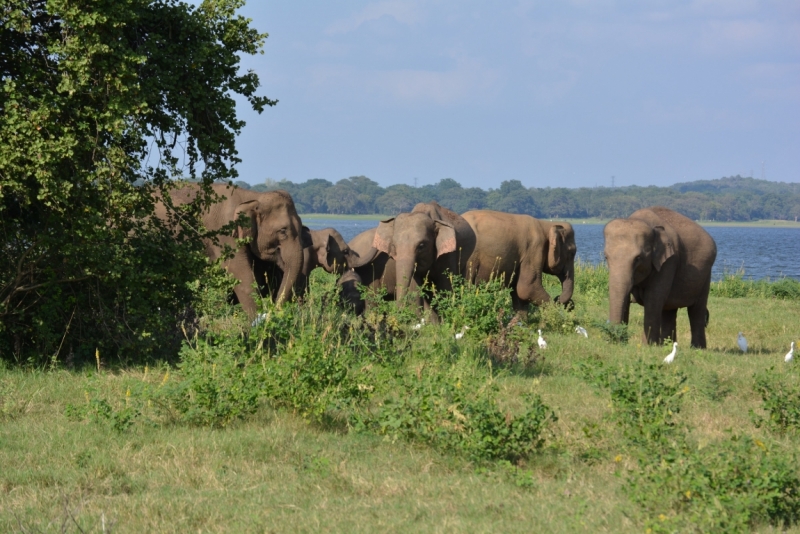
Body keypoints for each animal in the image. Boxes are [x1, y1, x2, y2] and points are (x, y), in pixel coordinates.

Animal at [155, 184, 304, 318]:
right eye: (283, 230)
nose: (275, 310)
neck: (252, 197)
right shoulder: (224, 234)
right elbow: (241, 276)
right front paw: (256, 322)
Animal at [608, 207, 720, 350]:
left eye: (638, 258)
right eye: (606, 257)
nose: (615, 340)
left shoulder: (669, 261)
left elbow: (654, 297)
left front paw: (648, 347)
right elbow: (626, 299)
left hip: (705, 275)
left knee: (696, 310)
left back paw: (697, 348)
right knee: (669, 310)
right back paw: (668, 345)